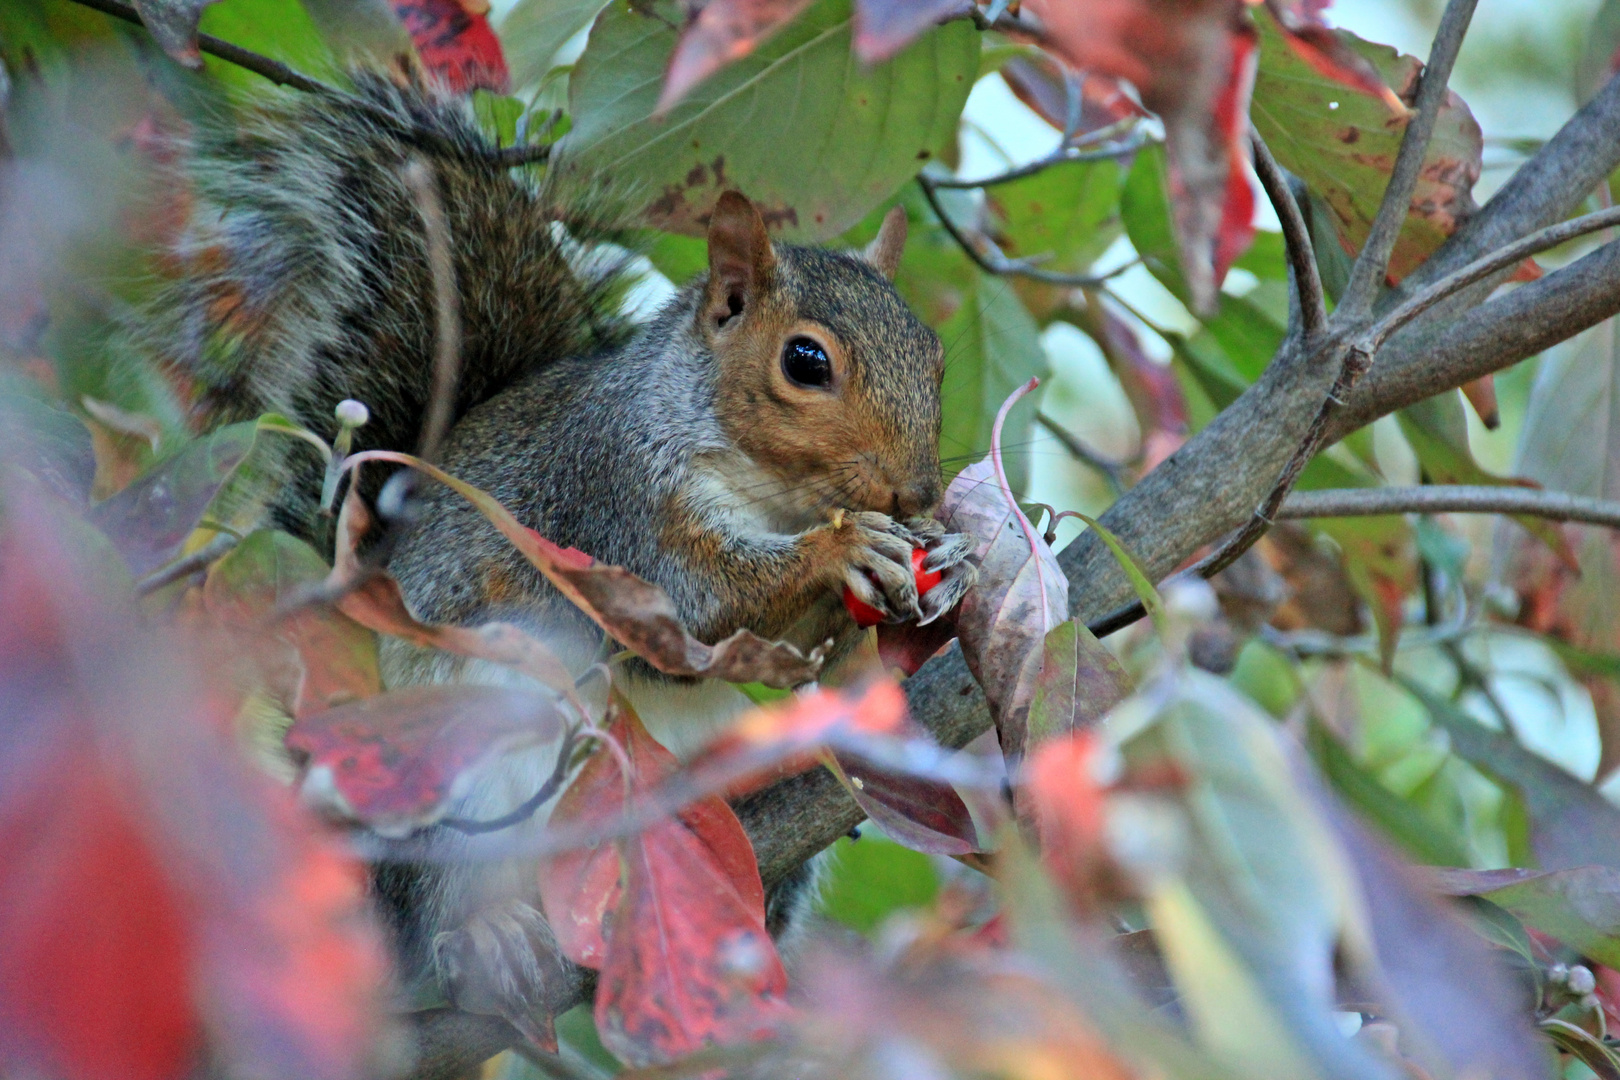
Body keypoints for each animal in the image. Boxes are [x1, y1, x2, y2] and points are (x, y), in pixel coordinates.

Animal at [154, 71, 972, 1042]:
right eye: (805, 361)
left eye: (937, 361)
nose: (916, 493)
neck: (771, 491)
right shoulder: (617, 501)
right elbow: (697, 610)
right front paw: (843, 547)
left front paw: (949, 557)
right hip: (452, 778)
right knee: (437, 897)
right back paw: (489, 937)